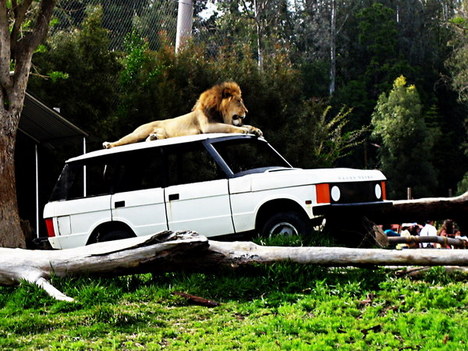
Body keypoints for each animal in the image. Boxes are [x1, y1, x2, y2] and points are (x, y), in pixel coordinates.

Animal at [102, 81, 262, 148]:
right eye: (239, 101)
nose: (247, 111)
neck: (220, 113)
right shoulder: (207, 126)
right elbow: (230, 127)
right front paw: (244, 130)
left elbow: (244, 125)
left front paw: (256, 129)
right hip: (138, 133)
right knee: (122, 140)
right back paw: (108, 144)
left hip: (160, 135)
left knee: (151, 139)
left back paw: (153, 138)